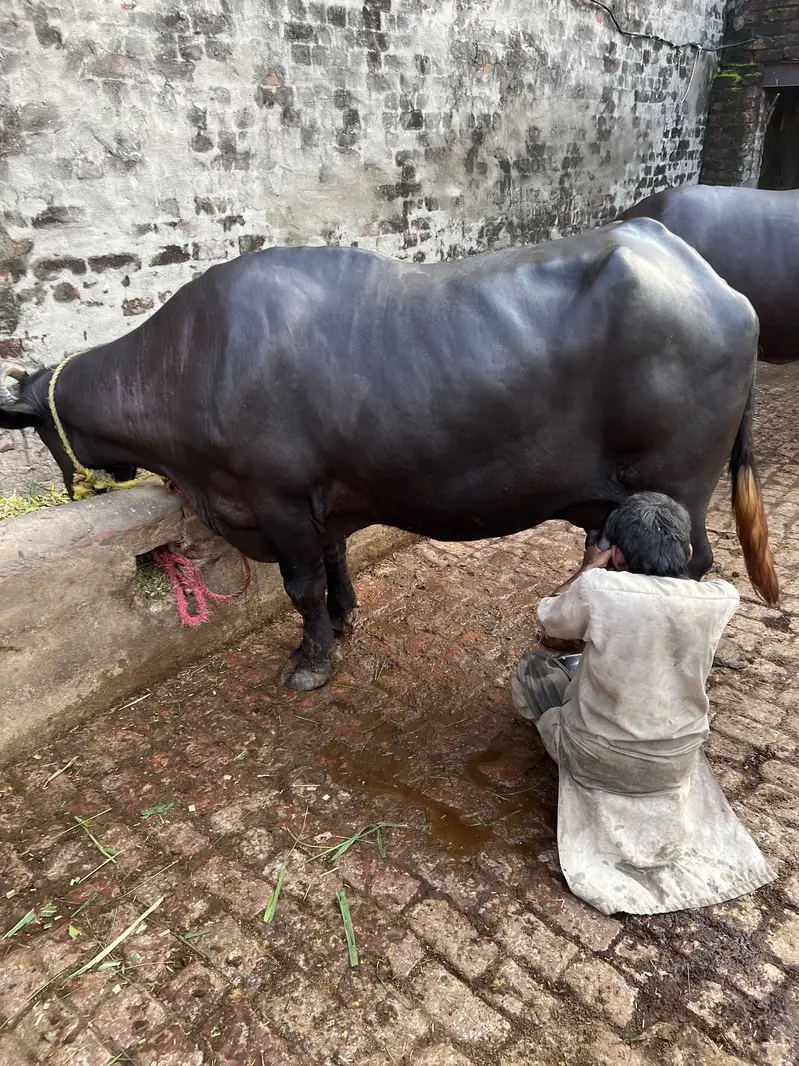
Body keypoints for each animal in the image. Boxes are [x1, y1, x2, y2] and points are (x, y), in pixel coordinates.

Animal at [0, 218, 779, 689]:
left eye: (42, 433)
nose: (76, 484)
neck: (187, 364)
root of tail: (705, 276)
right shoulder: (324, 497)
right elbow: (334, 561)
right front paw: (344, 618)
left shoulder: (276, 499)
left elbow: (300, 584)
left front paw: (310, 660)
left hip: (678, 482)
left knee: (689, 569)